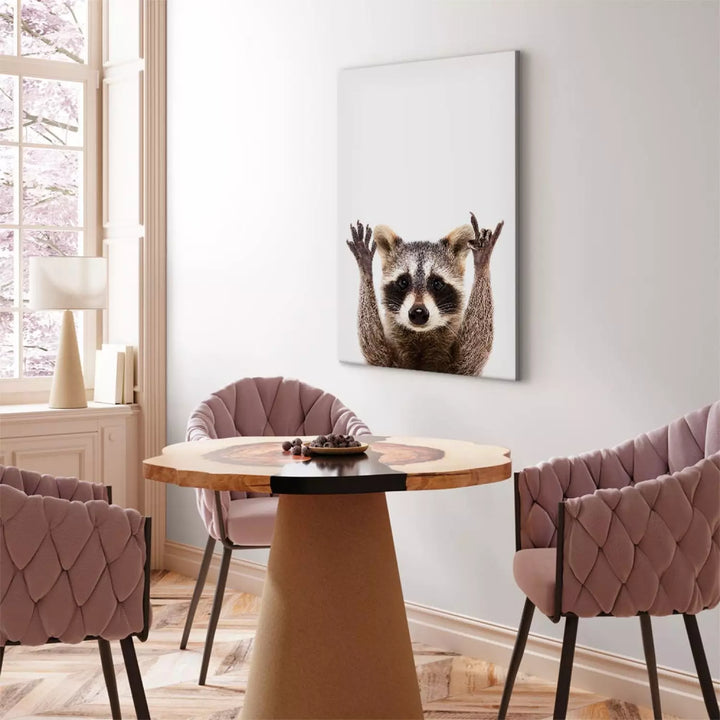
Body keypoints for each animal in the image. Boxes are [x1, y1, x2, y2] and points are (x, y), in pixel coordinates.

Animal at [346, 213, 503, 375]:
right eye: (403, 282)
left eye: (437, 283)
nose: (418, 312)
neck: (421, 335)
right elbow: (373, 347)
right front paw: (365, 268)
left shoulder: (462, 366)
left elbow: (474, 350)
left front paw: (482, 264)